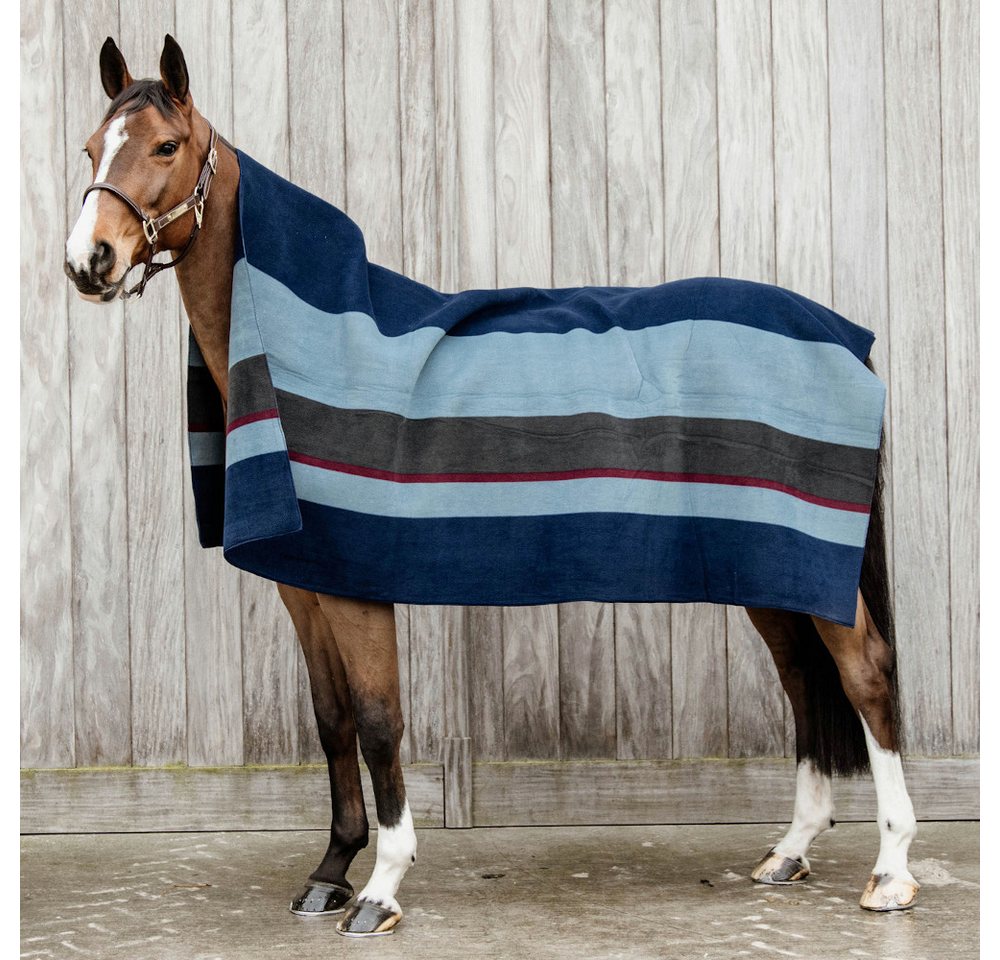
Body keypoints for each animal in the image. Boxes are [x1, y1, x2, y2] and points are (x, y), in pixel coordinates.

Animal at [63, 34, 920, 937]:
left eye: (165, 146)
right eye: (91, 149)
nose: (90, 261)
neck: (315, 351)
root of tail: (845, 335)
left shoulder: (359, 588)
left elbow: (378, 723)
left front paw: (380, 888)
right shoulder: (306, 587)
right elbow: (332, 721)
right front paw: (329, 872)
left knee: (865, 675)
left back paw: (892, 870)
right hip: (767, 570)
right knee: (802, 682)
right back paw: (789, 852)